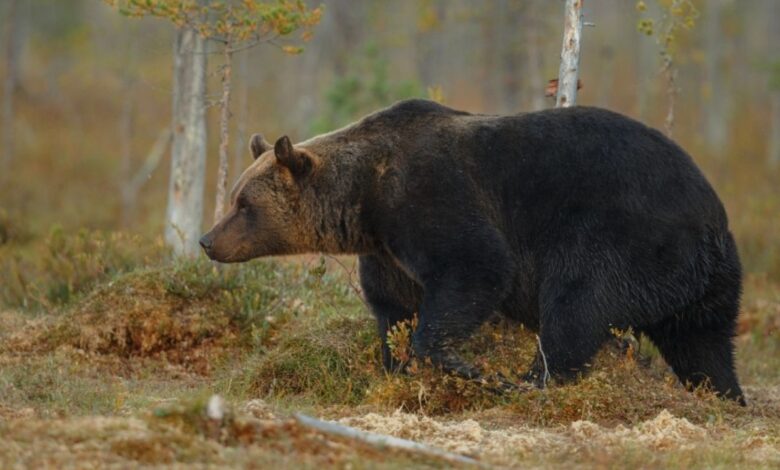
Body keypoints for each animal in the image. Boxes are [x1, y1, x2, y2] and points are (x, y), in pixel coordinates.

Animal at [198, 99, 748, 404]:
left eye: (244, 204)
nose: (207, 240)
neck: (365, 199)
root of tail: (712, 216)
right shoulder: (387, 251)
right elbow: (393, 309)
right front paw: (396, 367)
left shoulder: (432, 197)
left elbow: (476, 268)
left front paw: (466, 367)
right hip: (703, 280)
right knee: (704, 343)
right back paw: (724, 397)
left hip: (621, 236)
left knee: (576, 307)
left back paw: (530, 381)